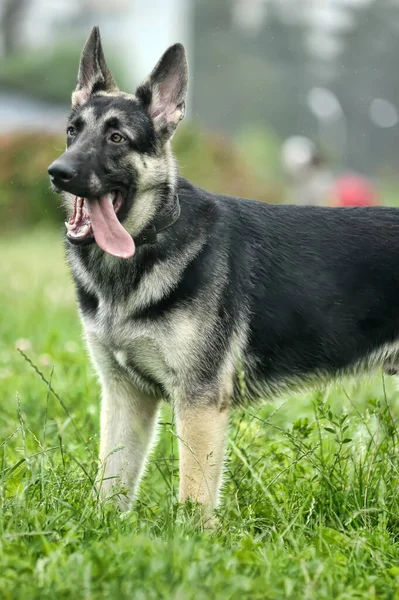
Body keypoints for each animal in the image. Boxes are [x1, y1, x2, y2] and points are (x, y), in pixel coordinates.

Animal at [47, 27, 399, 516]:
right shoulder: (124, 398)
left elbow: (193, 498)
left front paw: (189, 536)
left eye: (116, 137)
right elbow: (110, 484)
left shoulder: (199, 403)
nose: (56, 173)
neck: (149, 242)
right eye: (72, 132)